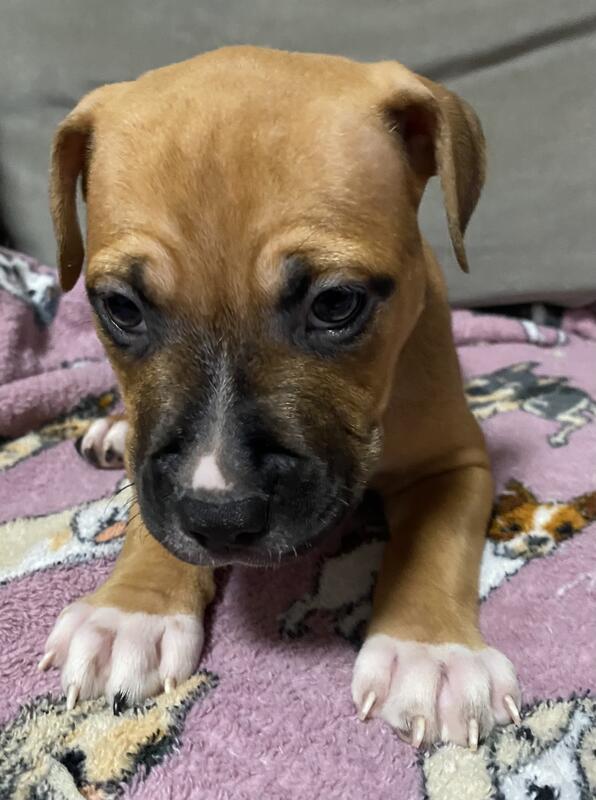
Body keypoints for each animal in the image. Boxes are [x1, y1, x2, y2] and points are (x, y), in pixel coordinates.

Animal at [40, 46, 521, 749]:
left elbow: (436, 543)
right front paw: (129, 611)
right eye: (121, 308)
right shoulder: (154, 462)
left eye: (337, 303)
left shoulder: (454, 465)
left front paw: (431, 652)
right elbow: (148, 513)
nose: (219, 518)